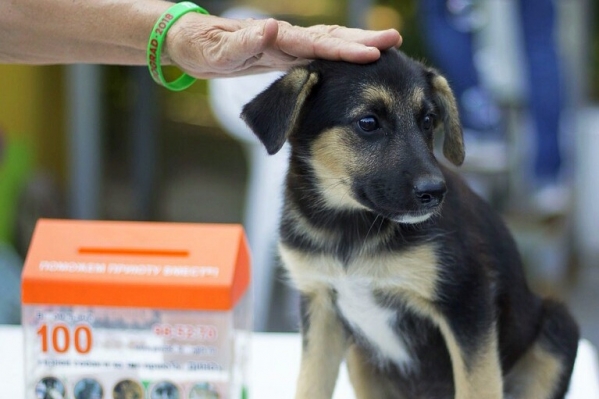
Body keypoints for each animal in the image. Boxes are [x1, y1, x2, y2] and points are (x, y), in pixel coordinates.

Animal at [241, 48, 580, 398]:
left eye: (428, 121)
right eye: (368, 123)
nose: (435, 192)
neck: (350, 228)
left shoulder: (467, 302)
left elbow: (478, 387)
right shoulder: (321, 307)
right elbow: (310, 386)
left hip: (558, 326)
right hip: (359, 358)